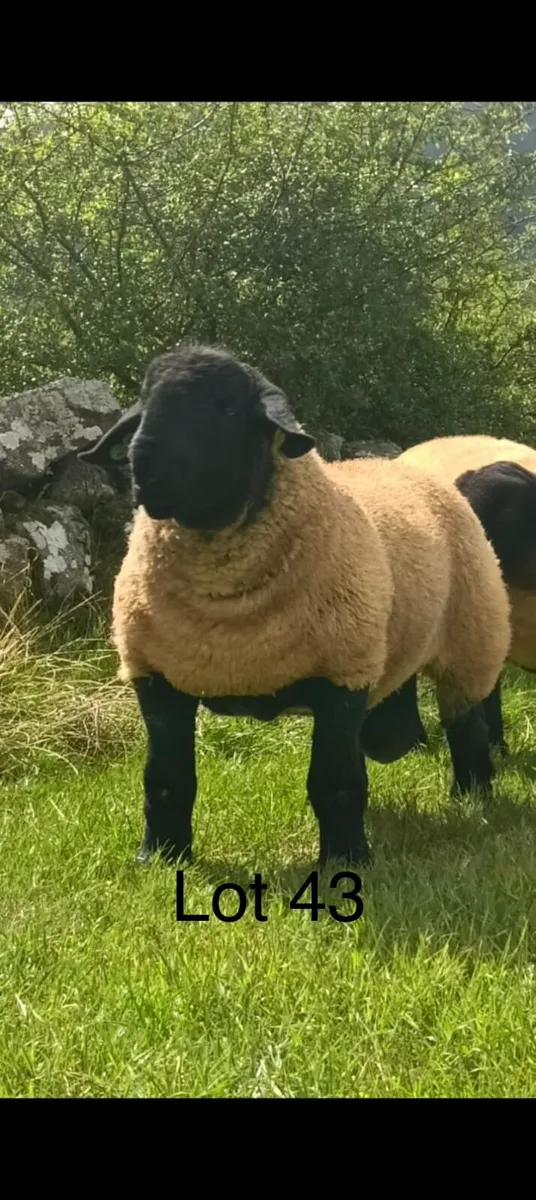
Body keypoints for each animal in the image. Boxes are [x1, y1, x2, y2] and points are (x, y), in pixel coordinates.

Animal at [79, 347, 511, 868]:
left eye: (227, 407)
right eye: (144, 401)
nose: (146, 469)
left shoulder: (340, 677)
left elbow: (335, 784)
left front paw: (345, 861)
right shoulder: (156, 675)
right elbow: (166, 780)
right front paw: (160, 857)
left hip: (470, 640)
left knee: (466, 725)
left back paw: (473, 796)